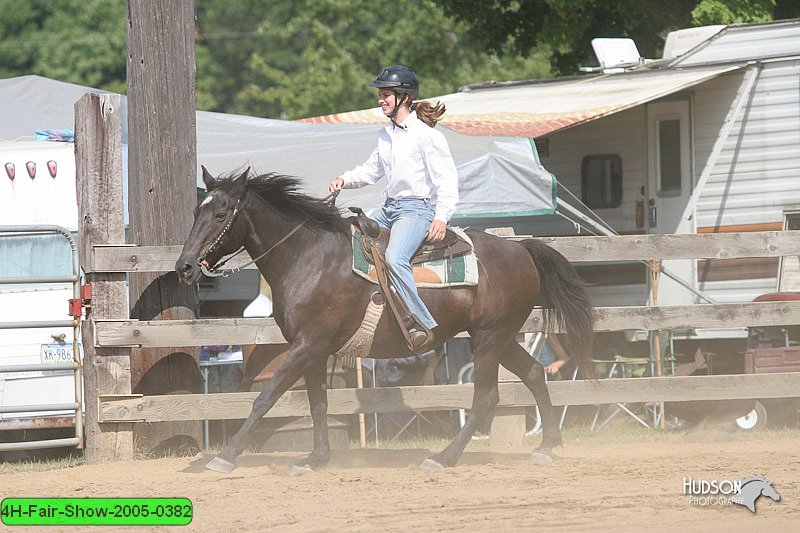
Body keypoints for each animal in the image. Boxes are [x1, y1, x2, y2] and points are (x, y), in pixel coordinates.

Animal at [177, 168, 592, 472]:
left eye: (219, 214)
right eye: (195, 212)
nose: (184, 267)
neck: (310, 257)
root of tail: (520, 249)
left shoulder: (307, 345)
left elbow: (265, 398)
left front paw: (225, 457)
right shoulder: (314, 350)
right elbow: (317, 403)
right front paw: (315, 459)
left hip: (489, 339)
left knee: (486, 397)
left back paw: (444, 457)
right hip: (499, 338)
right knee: (534, 374)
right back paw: (547, 446)